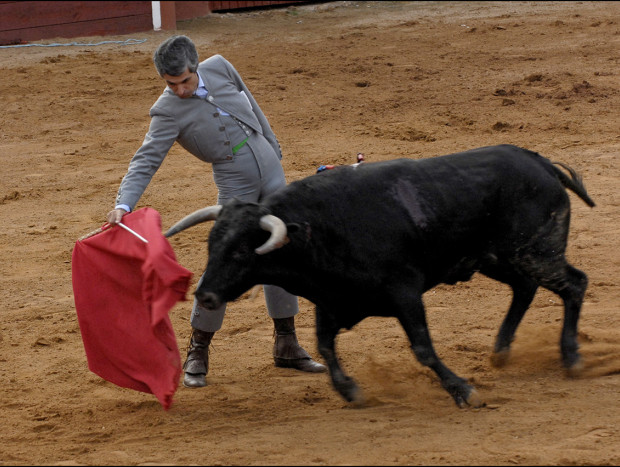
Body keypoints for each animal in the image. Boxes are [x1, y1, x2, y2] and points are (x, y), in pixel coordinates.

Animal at [165, 144, 596, 408]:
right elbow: (324, 346)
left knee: (574, 283)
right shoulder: (331, 302)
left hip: (535, 252)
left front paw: (463, 391)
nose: (204, 296)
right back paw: (502, 351)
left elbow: (423, 348)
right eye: (210, 246)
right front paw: (350, 391)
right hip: (500, 258)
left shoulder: (405, 293)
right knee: (525, 287)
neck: (321, 228)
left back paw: (571, 357)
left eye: (240, 251)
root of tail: (540, 162)